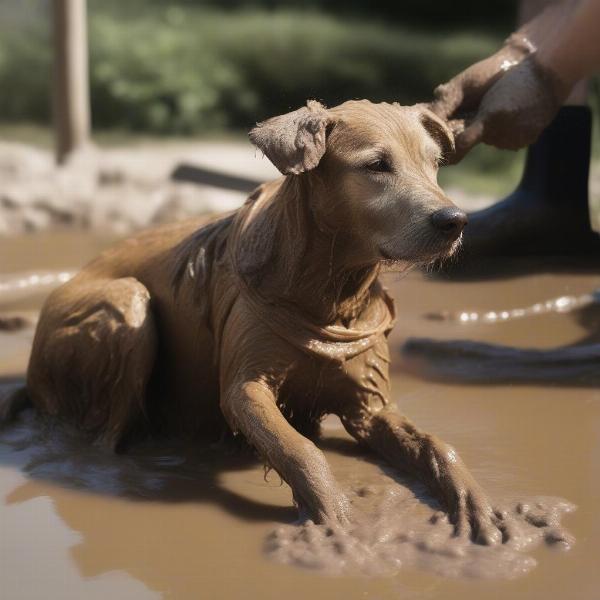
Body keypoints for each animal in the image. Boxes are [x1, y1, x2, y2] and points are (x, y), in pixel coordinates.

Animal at [23, 102, 508, 544]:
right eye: (376, 165)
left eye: (435, 164)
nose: (456, 221)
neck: (329, 297)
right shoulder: (244, 387)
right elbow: (299, 449)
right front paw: (337, 525)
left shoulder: (370, 407)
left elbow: (436, 445)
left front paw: (477, 507)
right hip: (127, 307)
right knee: (106, 437)